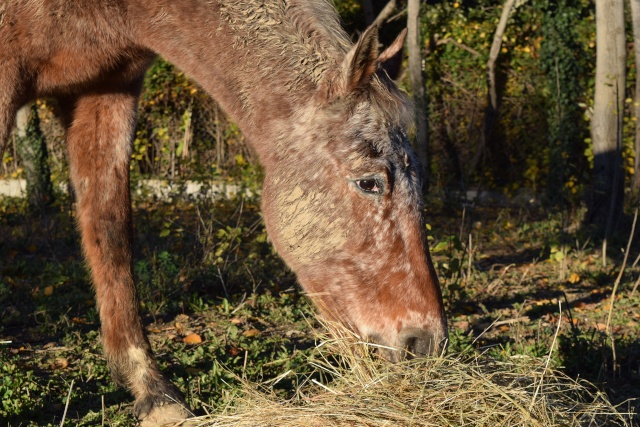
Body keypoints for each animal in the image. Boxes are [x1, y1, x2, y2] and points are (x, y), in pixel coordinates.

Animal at [0, 0, 448, 424]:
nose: (427, 343)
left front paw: (153, 392)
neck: (113, 13)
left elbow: (111, 236)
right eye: (369, 182)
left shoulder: (107, 90)